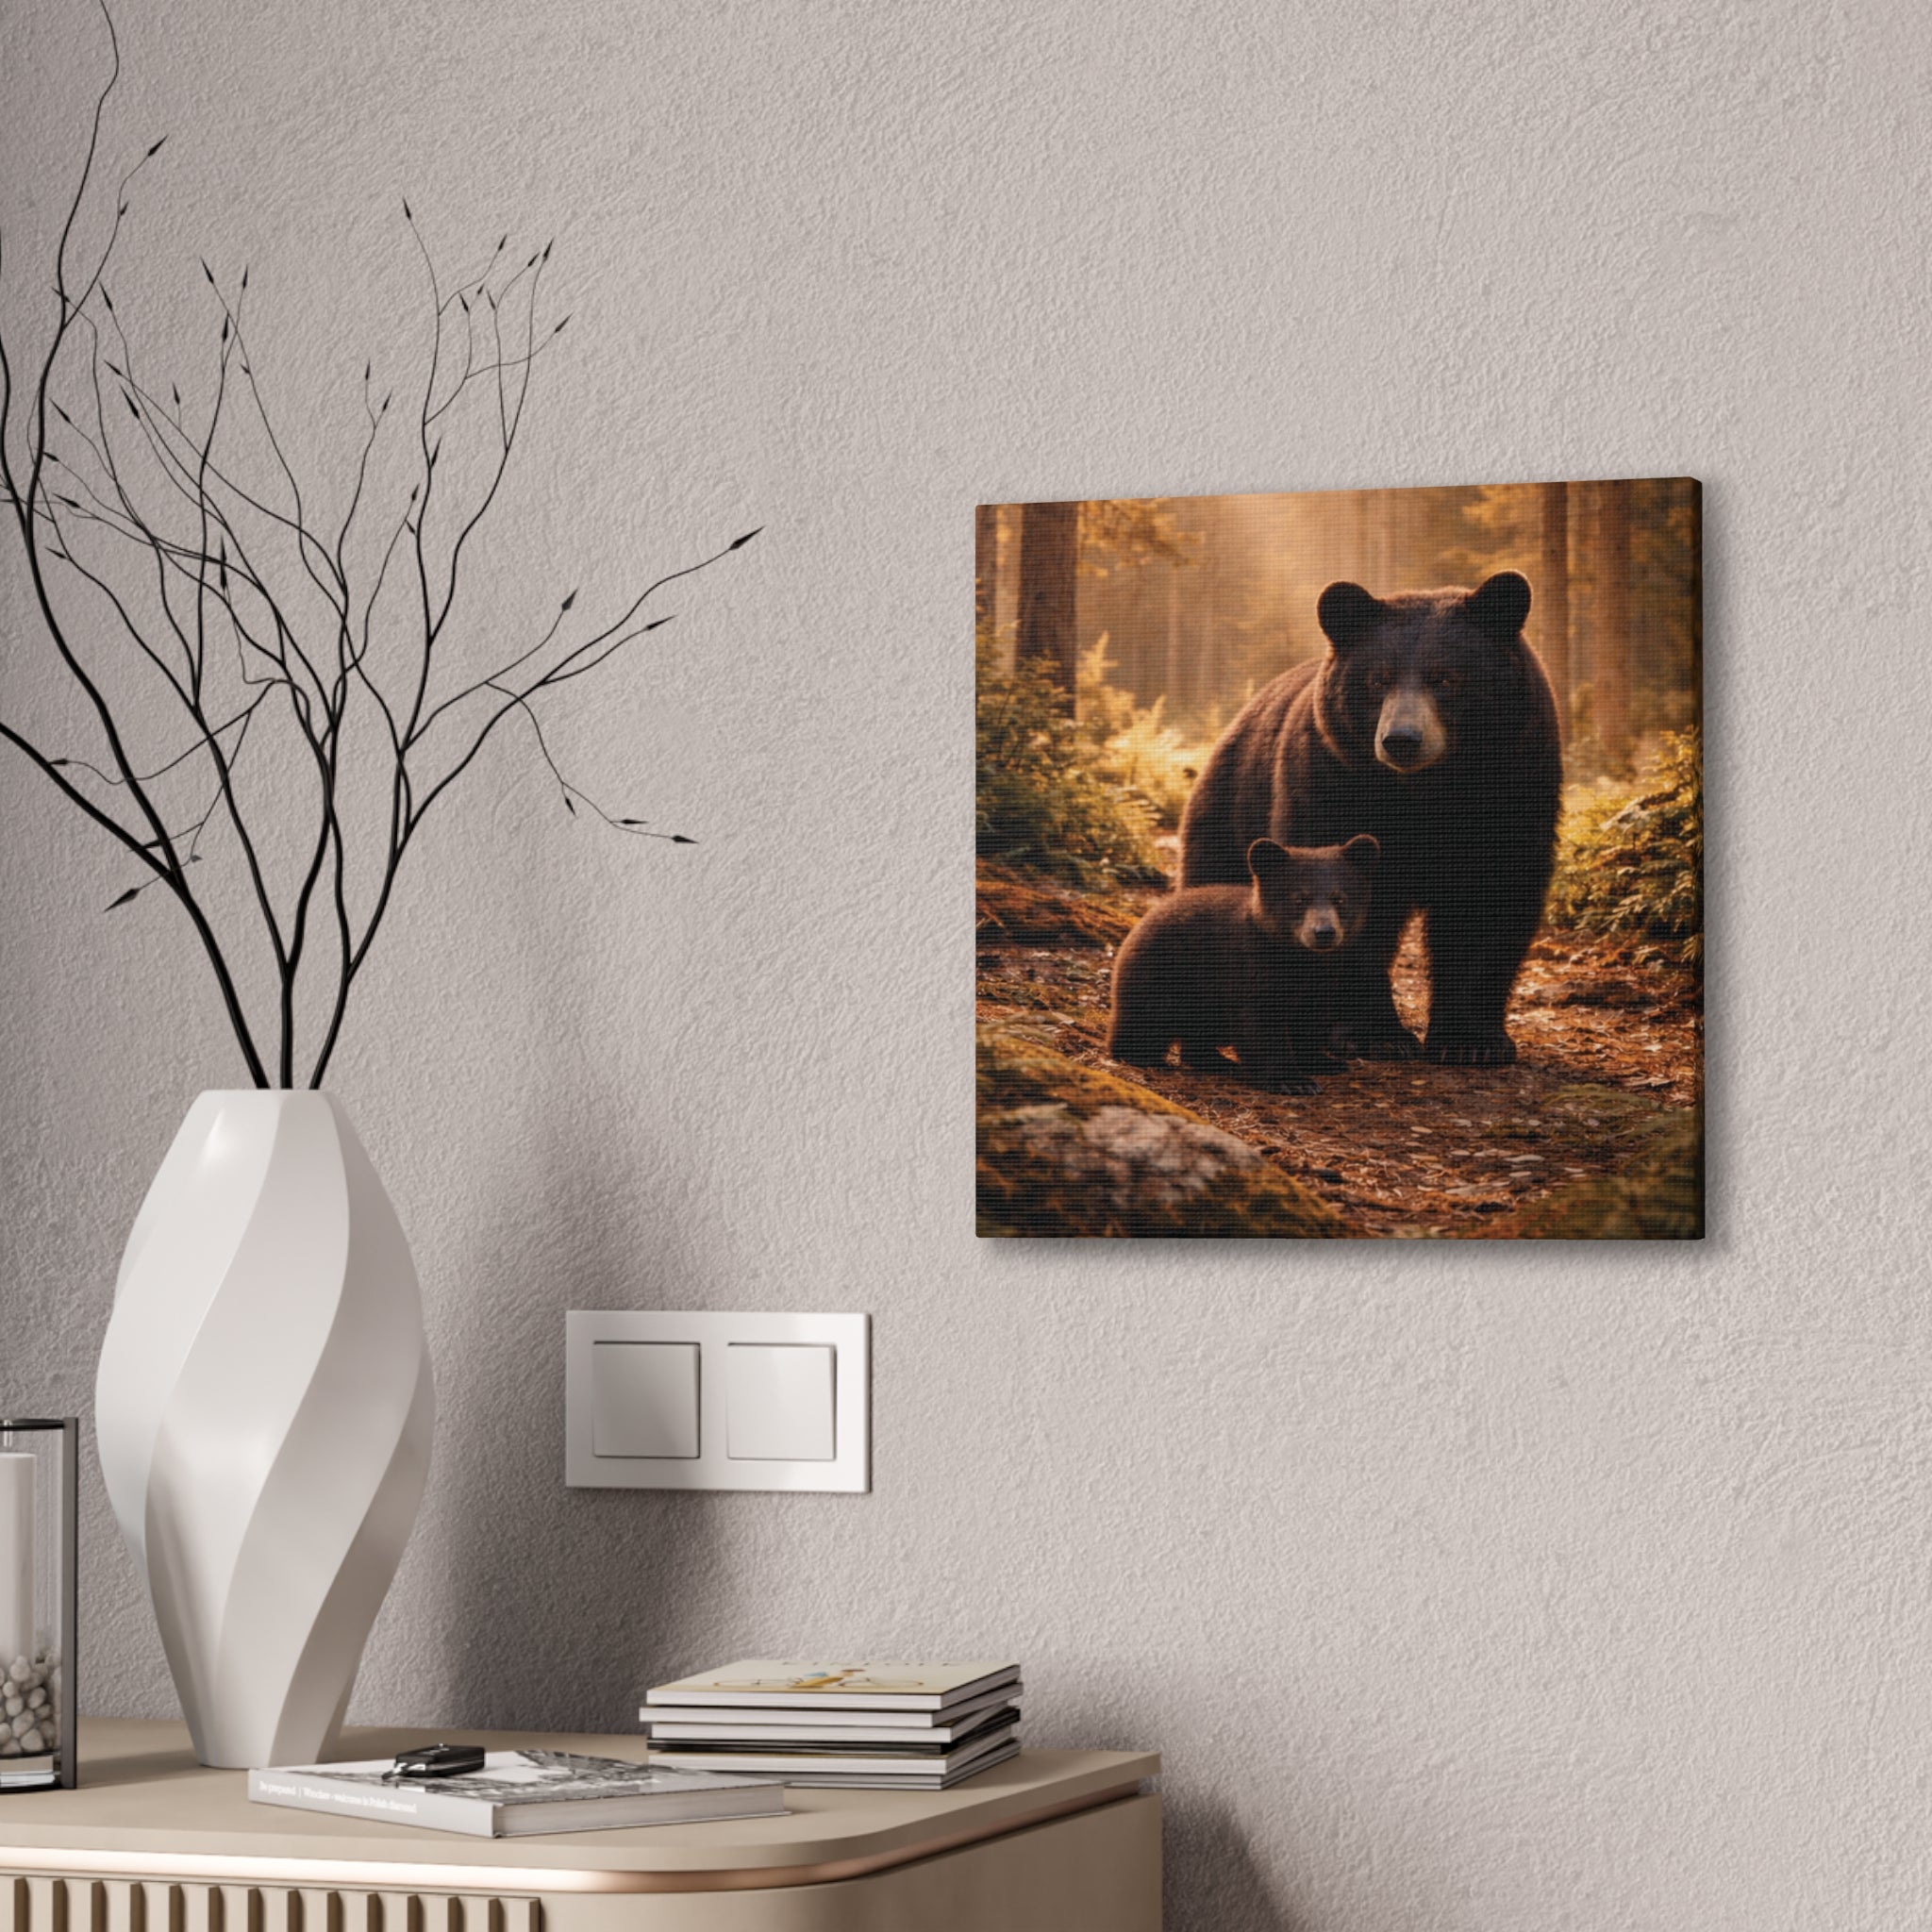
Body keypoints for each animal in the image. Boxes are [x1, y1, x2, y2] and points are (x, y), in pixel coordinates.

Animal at [1107, 835, 1380, 1096]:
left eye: (1339, 898)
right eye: (1300, 899)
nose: (1324, 932)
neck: (1297, 958)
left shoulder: (1321, 979)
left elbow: (1308, 1018)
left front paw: (1324, 1061)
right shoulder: (1249, 967)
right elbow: (1261, 1023)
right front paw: (1292, 1081)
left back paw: (1217, 1061)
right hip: (1163, 977)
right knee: (1145, 1021)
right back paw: (1144, 1056)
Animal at [1176, 570, 1561, 1067]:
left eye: (1444, 677)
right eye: (1379, 678)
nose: (1401, 739)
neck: (1427, 793)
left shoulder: (1513, 791)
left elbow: (1490, 901)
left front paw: (1472, 1040)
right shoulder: (1334, 784)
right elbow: (1345, 896)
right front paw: (1375, 1034)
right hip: (1231, 810)